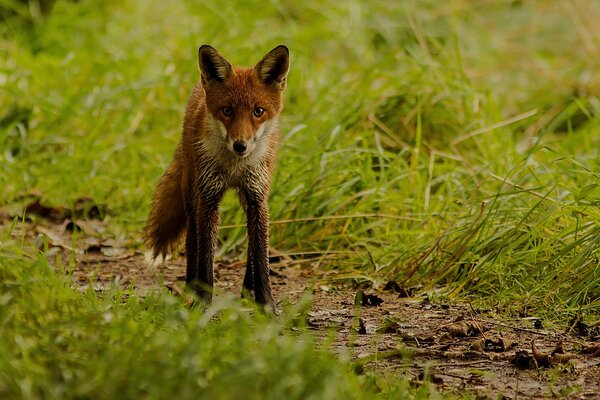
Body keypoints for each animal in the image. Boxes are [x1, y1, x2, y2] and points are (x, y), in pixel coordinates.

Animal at [143, 45, 288, 310]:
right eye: (227, 110)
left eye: (258, 111)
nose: (240, 145)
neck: (234, 168)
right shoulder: (208, 198)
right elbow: (206, 257)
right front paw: (202, 303)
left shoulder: (257, 197)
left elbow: (261, 256)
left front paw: (266, 306)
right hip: (192, 193)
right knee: (192, 240)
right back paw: (190, 287)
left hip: (247, 200)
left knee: (250, 246)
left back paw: (247, 290)